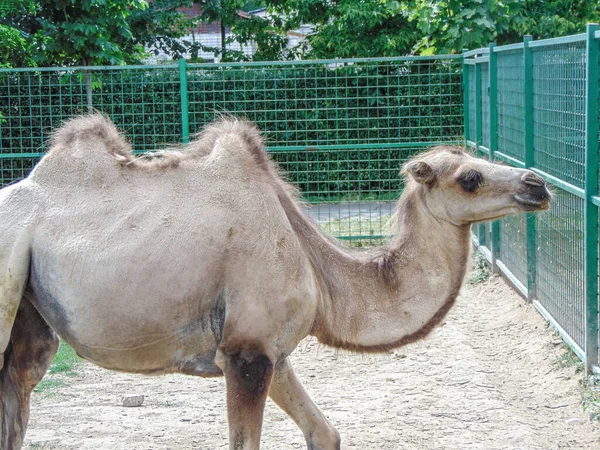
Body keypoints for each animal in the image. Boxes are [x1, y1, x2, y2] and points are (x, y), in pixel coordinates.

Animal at [0, 114, 552, 448]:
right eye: (469, 178)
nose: (537, 184)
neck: (317, 269)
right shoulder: (245, 354)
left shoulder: (272, 350)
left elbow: (325, 433)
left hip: (31, 311)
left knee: (18, 387)